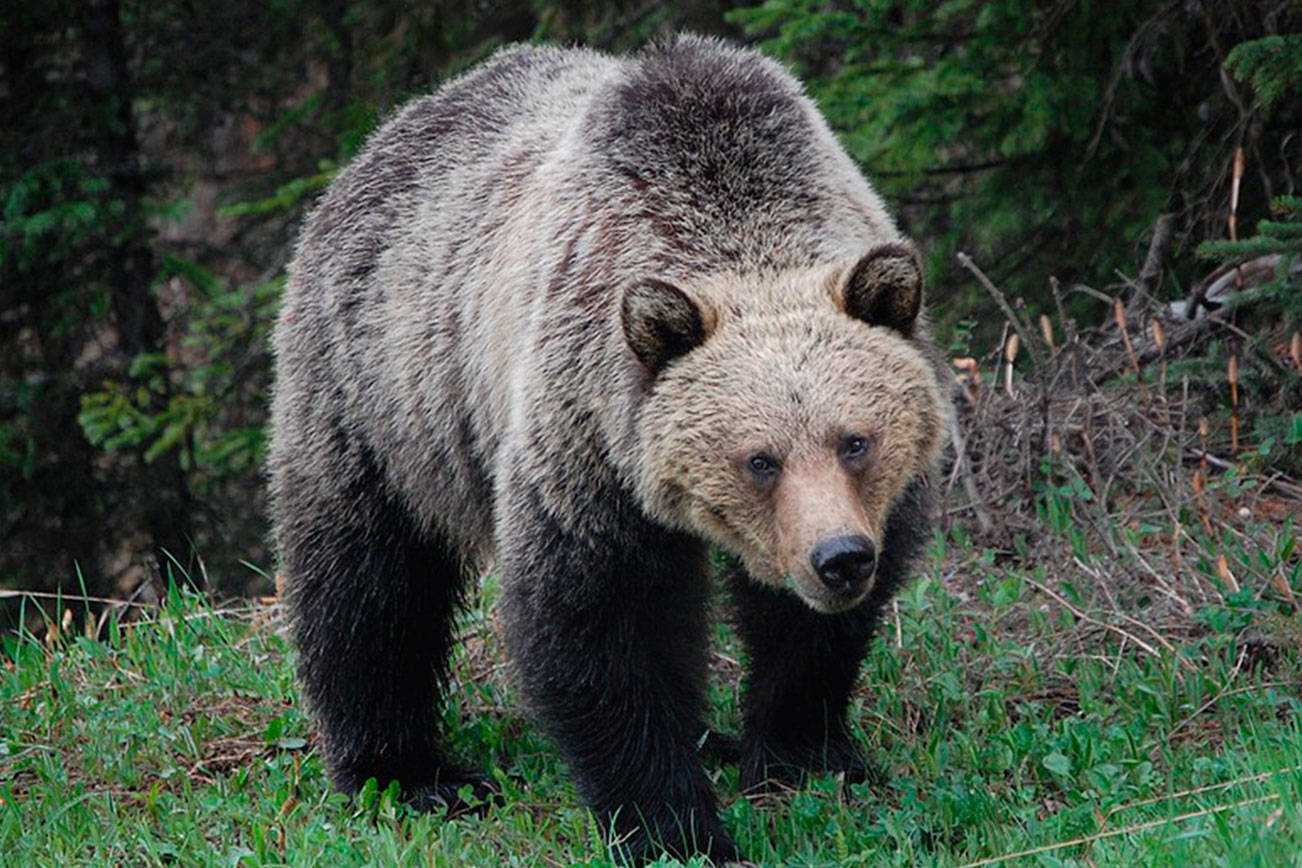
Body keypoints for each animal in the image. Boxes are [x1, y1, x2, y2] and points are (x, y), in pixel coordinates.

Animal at [269, 32, 953, 864]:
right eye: (759, 459)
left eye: (855, 441)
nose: (840, 559)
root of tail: (385, 135)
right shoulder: (587, 440)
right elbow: (604, 627)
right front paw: (677, 826)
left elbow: (809, 635)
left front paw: (805, 753)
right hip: (381, 392)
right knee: (368, 581)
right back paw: (407, 770)